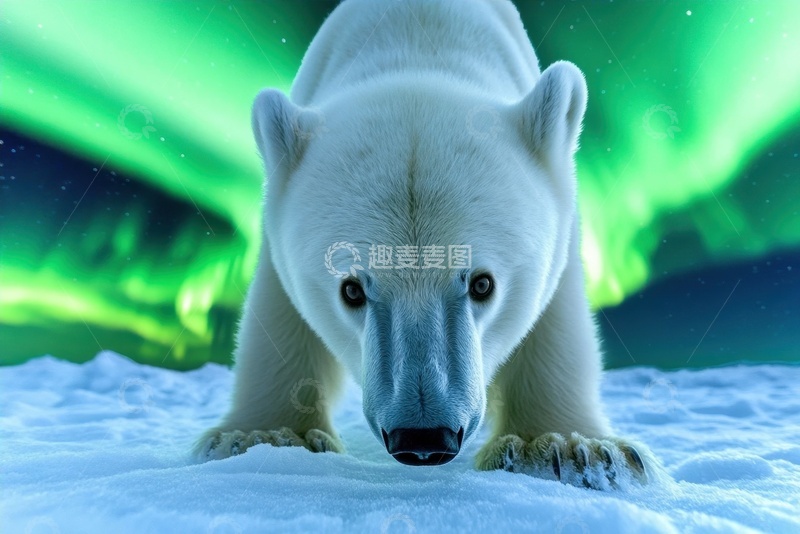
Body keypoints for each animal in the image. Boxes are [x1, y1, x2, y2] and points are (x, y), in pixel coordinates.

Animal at [194, 0, 654, 489]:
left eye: (483, 284)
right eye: (350, 290)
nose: (423, 437)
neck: (418, 40)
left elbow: (554, 317)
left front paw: (569, 448)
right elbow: (277, 313)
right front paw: (262, 436)